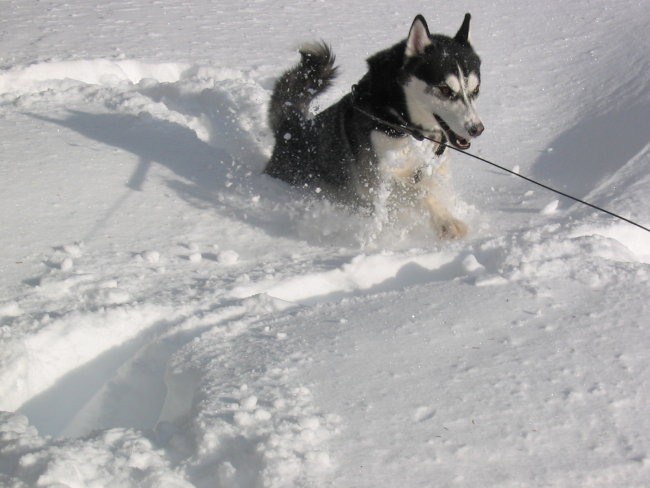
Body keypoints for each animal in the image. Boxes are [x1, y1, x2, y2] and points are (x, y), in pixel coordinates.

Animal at [264, 13, 480, 238]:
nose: (477, 128)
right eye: (445, 90)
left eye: (476, 90)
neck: (404, 124)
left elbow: (428, 186)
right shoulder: (373, 178)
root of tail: (292, 129)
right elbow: (416, 191)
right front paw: (446, 221)